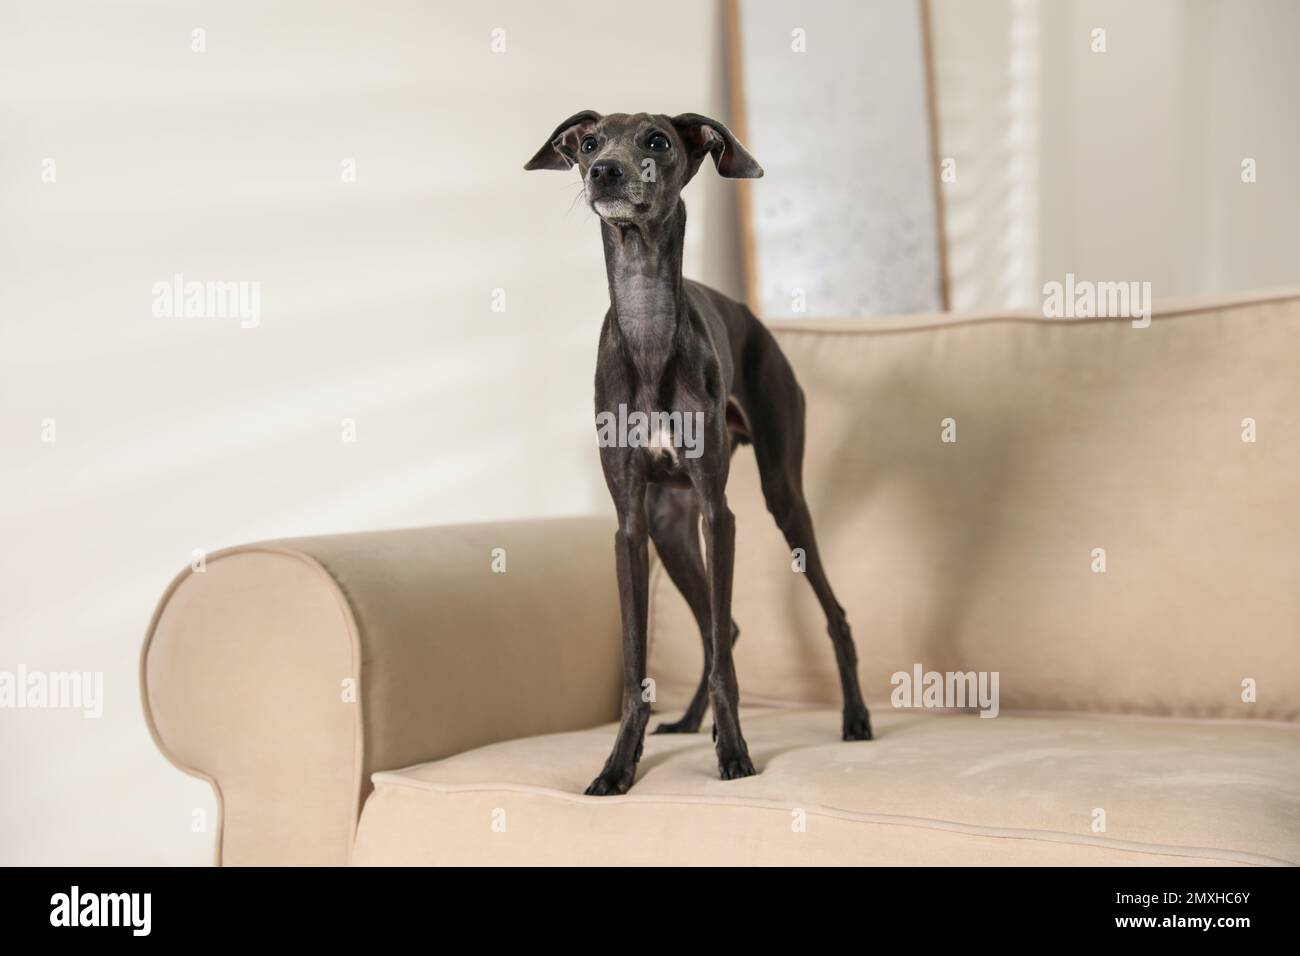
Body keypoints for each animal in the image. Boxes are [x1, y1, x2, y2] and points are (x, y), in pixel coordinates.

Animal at [522, 108, 868, 796]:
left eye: (657, 140)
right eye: (590, 143)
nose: (604, 173)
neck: (648, 330)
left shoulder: (718, 513)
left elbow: (727, 665)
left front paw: (733, 752)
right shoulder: (631, 524)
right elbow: (638, 661)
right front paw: (619, 765)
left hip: (780, 495)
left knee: (826, 614)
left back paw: (855, 718)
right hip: (670, 527)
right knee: (721, 628)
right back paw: (686, 722)